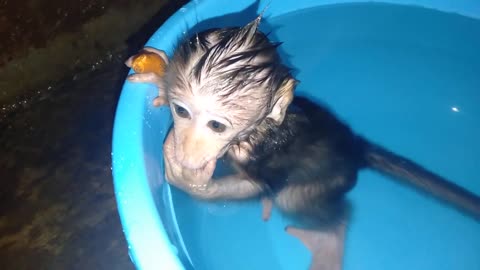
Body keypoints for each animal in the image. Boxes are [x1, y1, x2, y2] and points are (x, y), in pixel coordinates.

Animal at [124, 15, 480, 270]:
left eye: (216, 125)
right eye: (181, 111)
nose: (187, 151)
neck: (252, 134)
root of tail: (353, 144)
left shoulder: (267, 154)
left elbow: (258, 185)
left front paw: (189, 181)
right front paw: (159, 74)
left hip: (329, 179)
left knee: (295, 199)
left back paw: (328, 240)